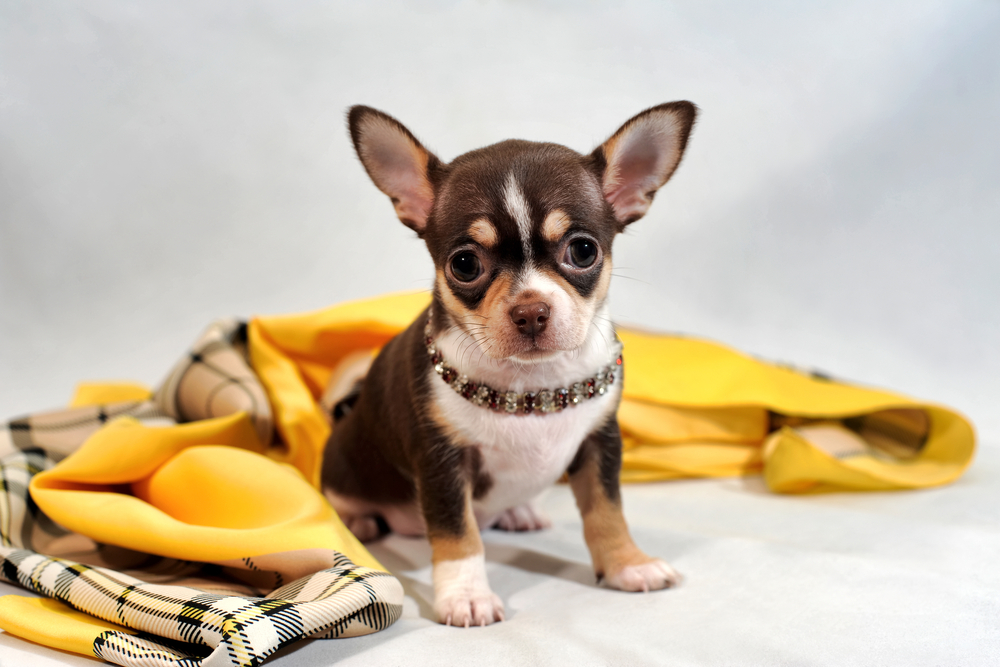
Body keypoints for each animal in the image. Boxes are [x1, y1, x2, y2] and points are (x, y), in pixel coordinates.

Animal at [320, 102, 696, 628]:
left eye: (583, 250)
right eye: (464, 264)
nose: (531, 310)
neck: (531, 385)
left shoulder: (600, 443)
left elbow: (607, 510)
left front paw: (627, 564)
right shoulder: (442, 462)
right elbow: (458, 534)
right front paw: (466, 596)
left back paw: (520, 513)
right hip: (343, 460)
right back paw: (358, 519)